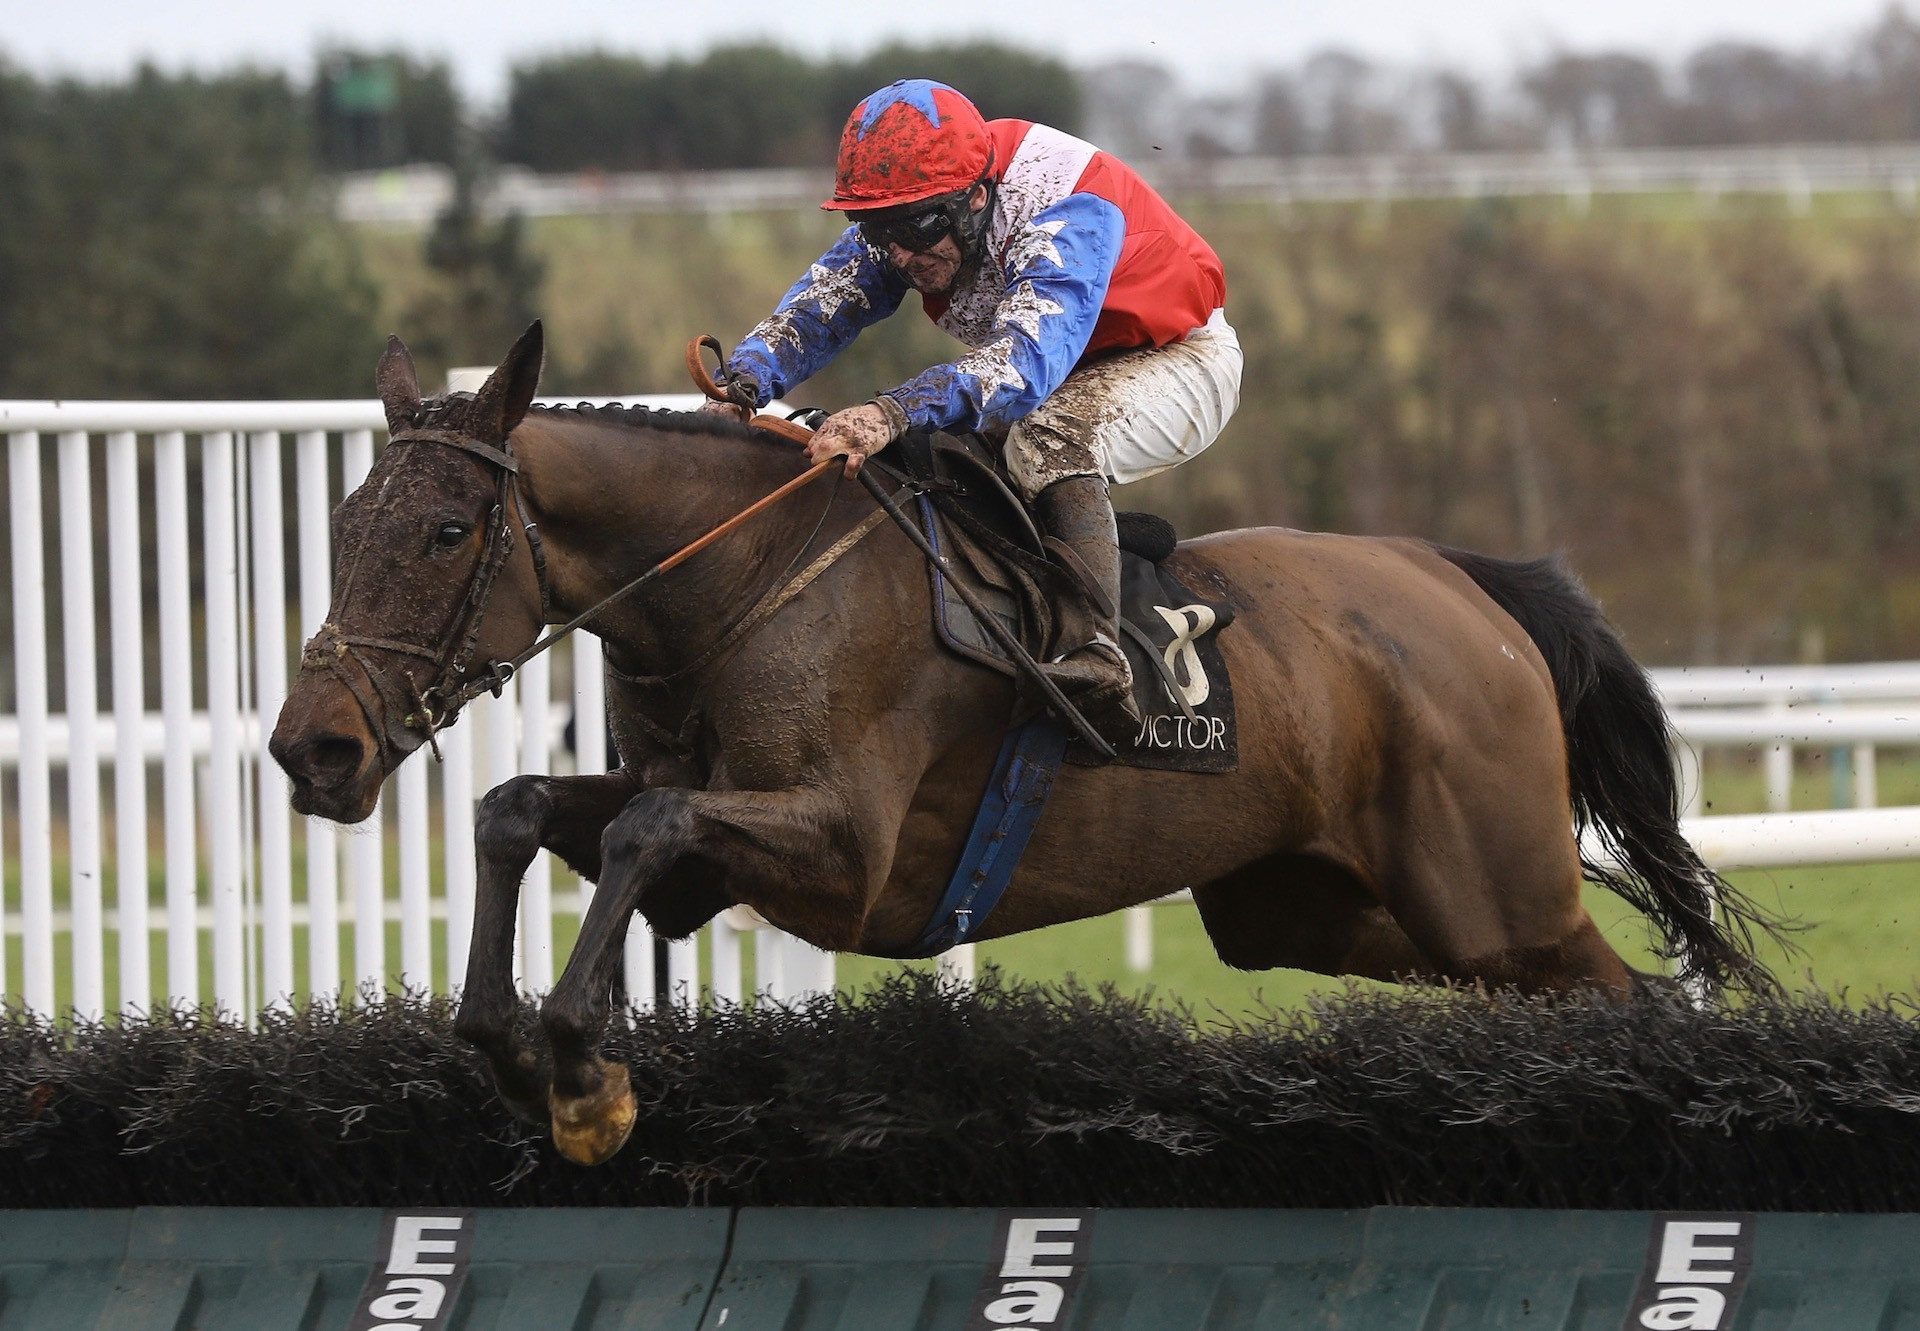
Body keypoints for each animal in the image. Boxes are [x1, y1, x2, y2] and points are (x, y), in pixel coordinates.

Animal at [266, 326, 1766, 1167]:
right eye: (342, 524)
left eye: (445, 533)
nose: (312, 750)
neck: (740, 575)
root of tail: (1464, 581)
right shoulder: (688, 814)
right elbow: (521, 807)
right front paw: (515, 1047)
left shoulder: (847, 857)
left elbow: (642, 830)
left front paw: (583, 1066)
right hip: (1324, 910)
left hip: (1496, 896)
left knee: (1622, 993)